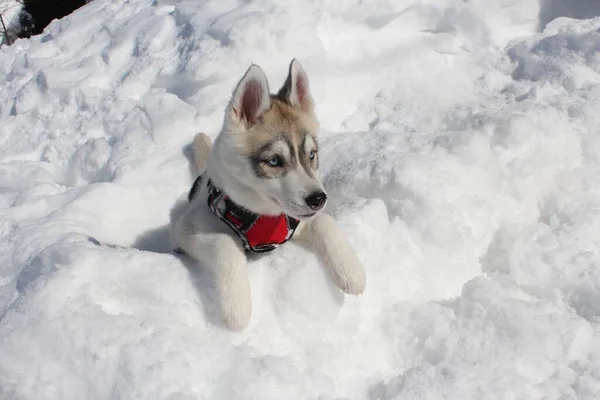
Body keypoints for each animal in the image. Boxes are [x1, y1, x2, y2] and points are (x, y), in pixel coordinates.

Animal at [170, 57, 366, 330]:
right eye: (274, 161)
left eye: (312, 154)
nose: (318, 199)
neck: (261, 215)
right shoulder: (188, 228)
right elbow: (225, 242)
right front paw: (236, 305)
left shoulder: (296, 222)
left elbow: (325, 222)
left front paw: (350, 270)